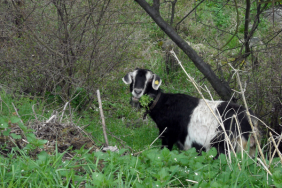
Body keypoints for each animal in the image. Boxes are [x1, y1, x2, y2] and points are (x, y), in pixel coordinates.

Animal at [122, 68, 262, 156]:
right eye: (133, 79)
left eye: (150, 80)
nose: (137, 92)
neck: (164, 103)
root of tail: (251, 121)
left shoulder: (168, 135)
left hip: (229, 147)